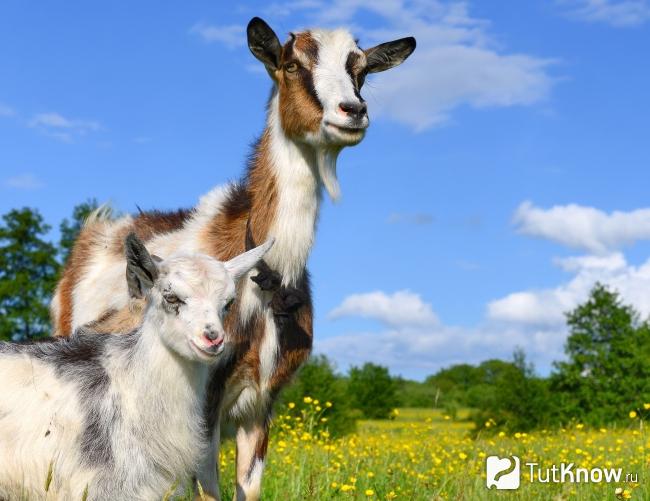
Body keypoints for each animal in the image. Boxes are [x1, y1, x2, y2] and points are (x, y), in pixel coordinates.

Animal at [50, 16, 416, 500]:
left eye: (361, 70)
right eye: (291, 64)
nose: (352, 111)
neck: (268, 271)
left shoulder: (262, 403)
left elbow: (249, 488)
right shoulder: (203, 404)